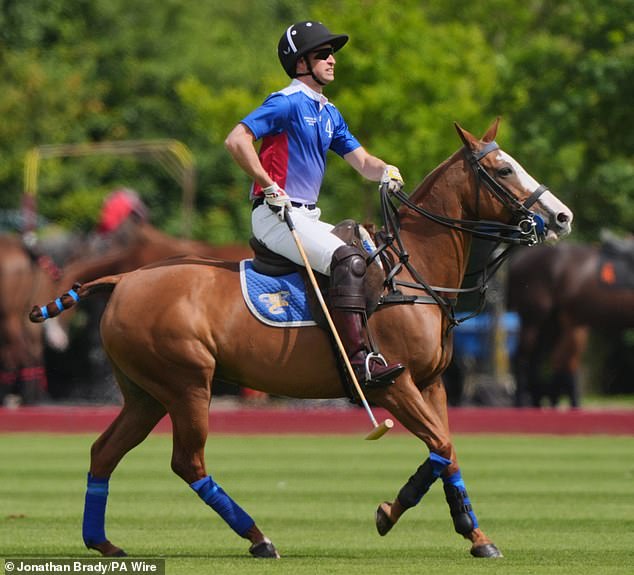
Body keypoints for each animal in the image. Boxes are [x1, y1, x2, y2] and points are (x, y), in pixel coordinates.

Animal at [29, 120, 572, 560]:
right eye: (503, 169)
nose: (562, 217)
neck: (413, 271)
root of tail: (122, 279)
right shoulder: (391, 385)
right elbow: (439, 445)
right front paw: (388, 513)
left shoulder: (431, 383)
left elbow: (449, 451)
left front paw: (477, 537)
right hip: (186, 384)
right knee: (187, 460)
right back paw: (258, 537)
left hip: (146, 392)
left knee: (104, 451)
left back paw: (102, 542)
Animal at [506, 238, 634, 410]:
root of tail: (518, 259)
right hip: (533, 319)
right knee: (523, 360)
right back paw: (522, 404)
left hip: (550, 324)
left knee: (537, 363)